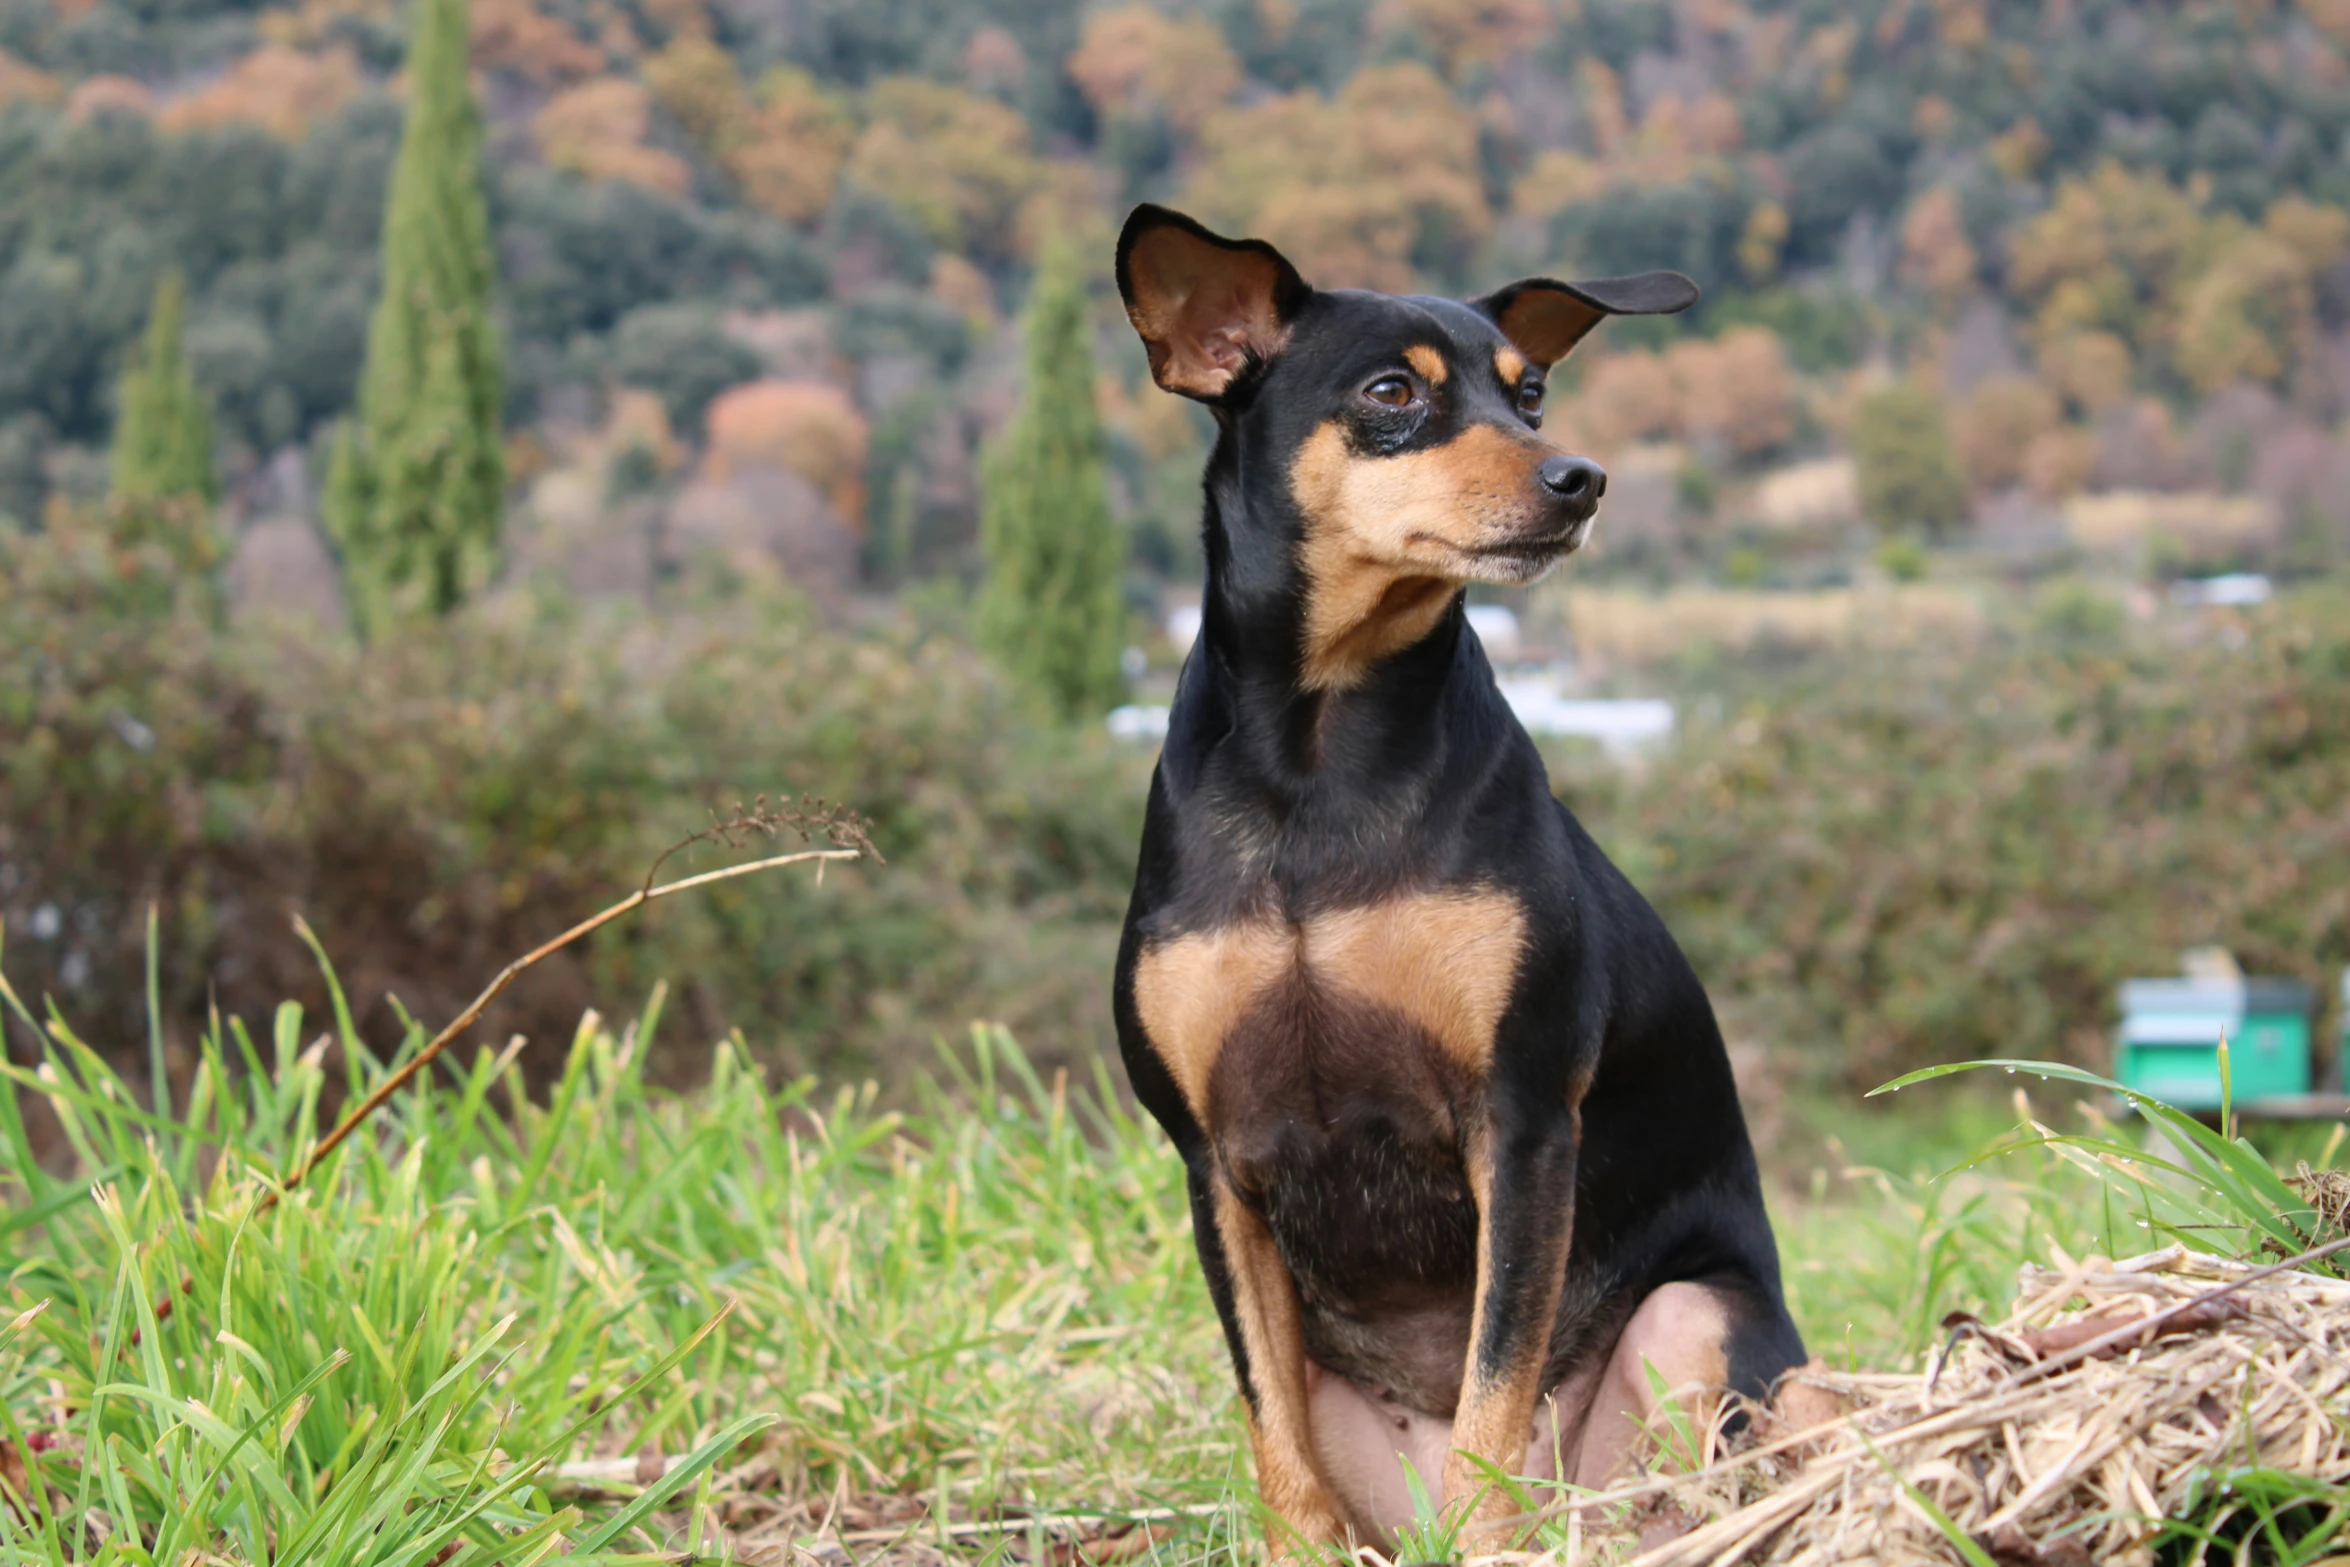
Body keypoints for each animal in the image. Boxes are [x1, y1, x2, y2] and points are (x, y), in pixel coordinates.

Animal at [1109, 211, 1804, 1559]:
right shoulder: (1213, 1164)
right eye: (1392, 394)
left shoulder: (1523, 1119)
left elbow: (1493, 1387)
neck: (1319, 756)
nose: (1578, 477)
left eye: (1529, 393)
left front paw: (1485, 1534)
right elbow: (1271, 1438)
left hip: (1692, 1322)